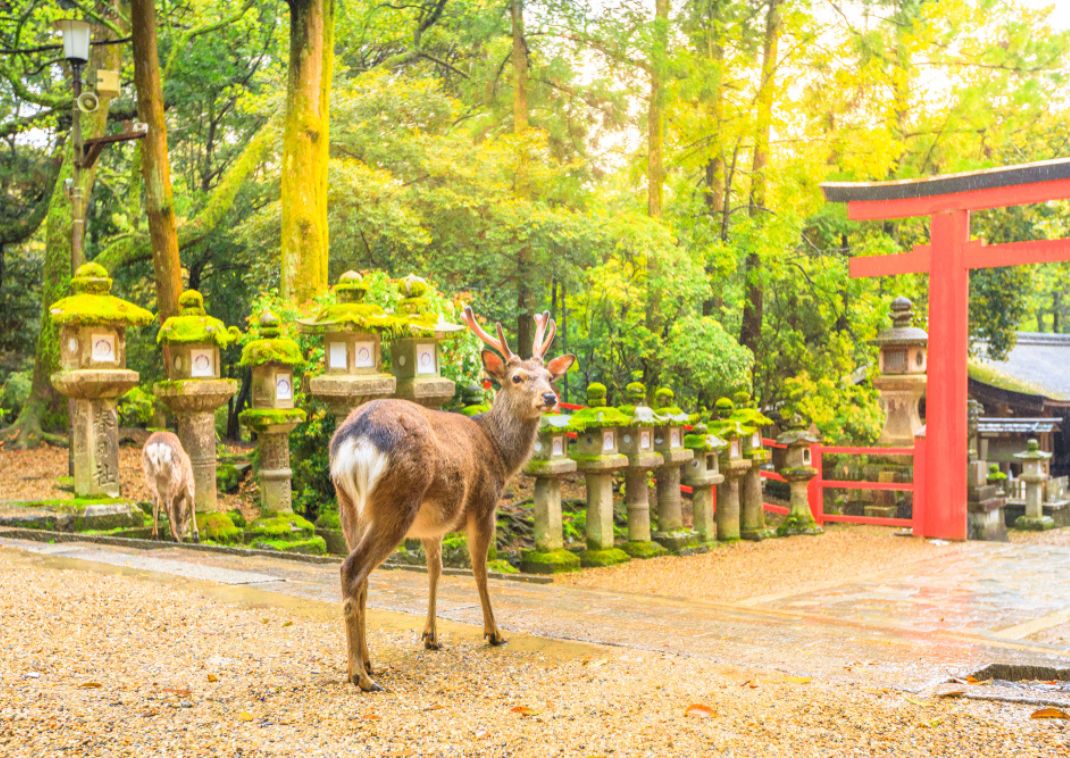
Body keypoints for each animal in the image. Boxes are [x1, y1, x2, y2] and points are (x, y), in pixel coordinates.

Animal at [327, 304, 573, 689]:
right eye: (517, 378)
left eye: (549, 375)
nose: (549, 398)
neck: (499, 451)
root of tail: (355, 439)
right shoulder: (484, 505)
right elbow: (479, 569)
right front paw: (494, 632)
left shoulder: (433, 526)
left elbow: (435, 570)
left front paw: (430, 635)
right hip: (398, 501)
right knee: (351, 569)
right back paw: (359, 675)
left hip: (348, 503)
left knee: (361, 576)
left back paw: (367, 663)